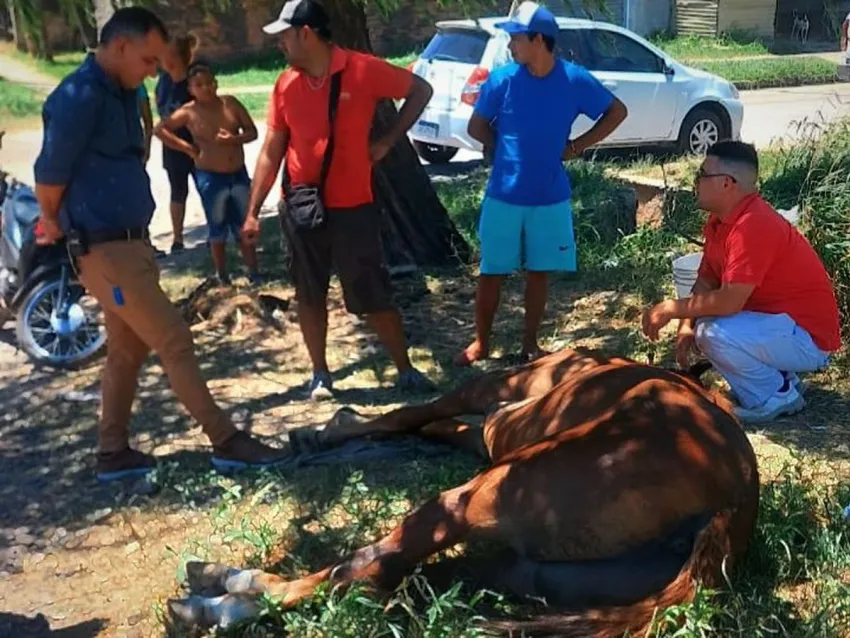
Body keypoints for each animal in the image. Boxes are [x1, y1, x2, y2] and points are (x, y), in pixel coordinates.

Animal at [166, 350, 756, 638]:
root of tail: (728, 501)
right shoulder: (493, 429)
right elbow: (437, 425)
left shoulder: (497, 396)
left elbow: (418, 413)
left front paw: (333, 426)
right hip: (524, 569)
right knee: (404, 579)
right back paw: (224, 591)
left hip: (474, 499)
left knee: (373, 568)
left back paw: (219, 598)